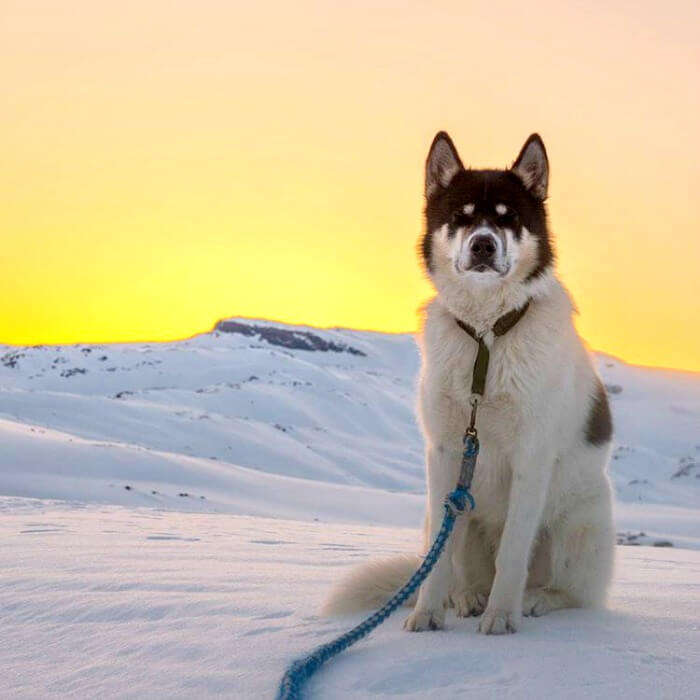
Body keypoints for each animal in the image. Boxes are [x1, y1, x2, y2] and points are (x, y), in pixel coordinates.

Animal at [322, 131, 612, 636]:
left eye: (508, 218)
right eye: (461, 217)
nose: (482, 245)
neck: (487, 336)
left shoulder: (531, 458)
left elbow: (513, 554)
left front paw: (501, 617)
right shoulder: (444, 452)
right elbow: (437, 565)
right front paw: (427, 615)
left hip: (577, 523)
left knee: (570, 590)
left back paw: (535, 599)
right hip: (453, 513)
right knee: (454, 561)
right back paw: (465, 596)